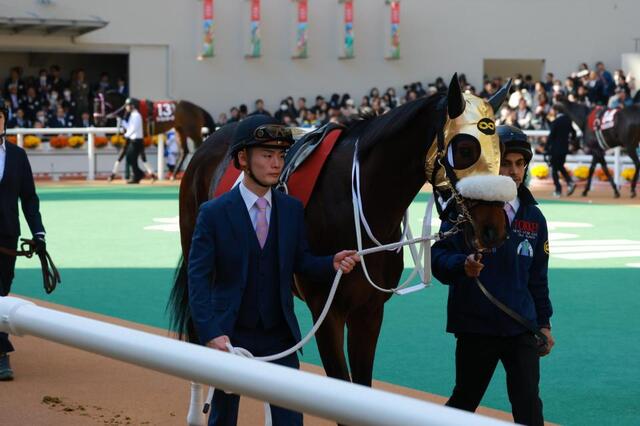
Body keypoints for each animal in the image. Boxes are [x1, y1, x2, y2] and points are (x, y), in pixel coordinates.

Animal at [168, 74, 514, 391]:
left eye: (499, 149)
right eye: (465, 148)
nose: (494, 228)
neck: (357, 202)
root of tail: (209, 142)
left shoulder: (369, 311)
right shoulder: (326, 310)